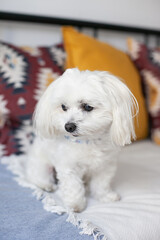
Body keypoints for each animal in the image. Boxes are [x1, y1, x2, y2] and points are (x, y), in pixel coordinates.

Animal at [26, 67, 138, 212]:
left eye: (87, 106)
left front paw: (105, 196)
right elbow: (73, 187)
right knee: (37, 177)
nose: (68, 126)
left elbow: (101, 184)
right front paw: (75, 205)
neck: (88, 141)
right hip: (41, 166)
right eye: (63, 107)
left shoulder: (105, 166)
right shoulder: (68, 168)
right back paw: (46, 185)